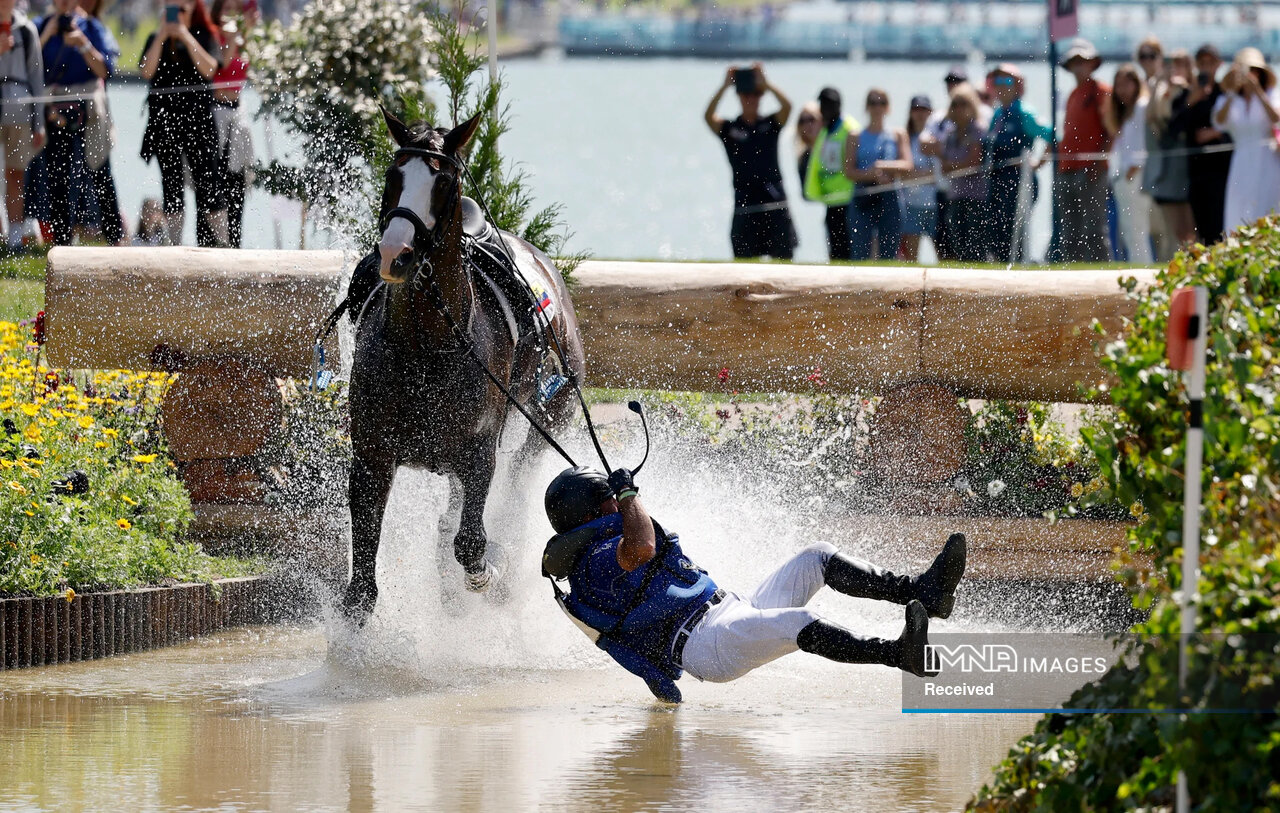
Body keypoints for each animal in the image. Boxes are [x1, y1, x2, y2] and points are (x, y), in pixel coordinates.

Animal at [345, 106, 588, 617]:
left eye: (444, 183)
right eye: (393, 175)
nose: (396, 254)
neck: (424, 349)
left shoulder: (479, 452)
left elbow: (471, 542)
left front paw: (487, 571)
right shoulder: (372, 456)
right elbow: (361, 587)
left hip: (551, 414)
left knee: (516, 487)